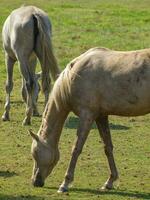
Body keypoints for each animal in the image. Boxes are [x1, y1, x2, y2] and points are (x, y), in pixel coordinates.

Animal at [29, 47, 149, 192]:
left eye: (35, 153)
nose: (35, 181)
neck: (73, 78)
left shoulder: (87, 116)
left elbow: (76, 149)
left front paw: (65, 183)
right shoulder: (101, 116)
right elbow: (108, 147)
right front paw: (110, 181)